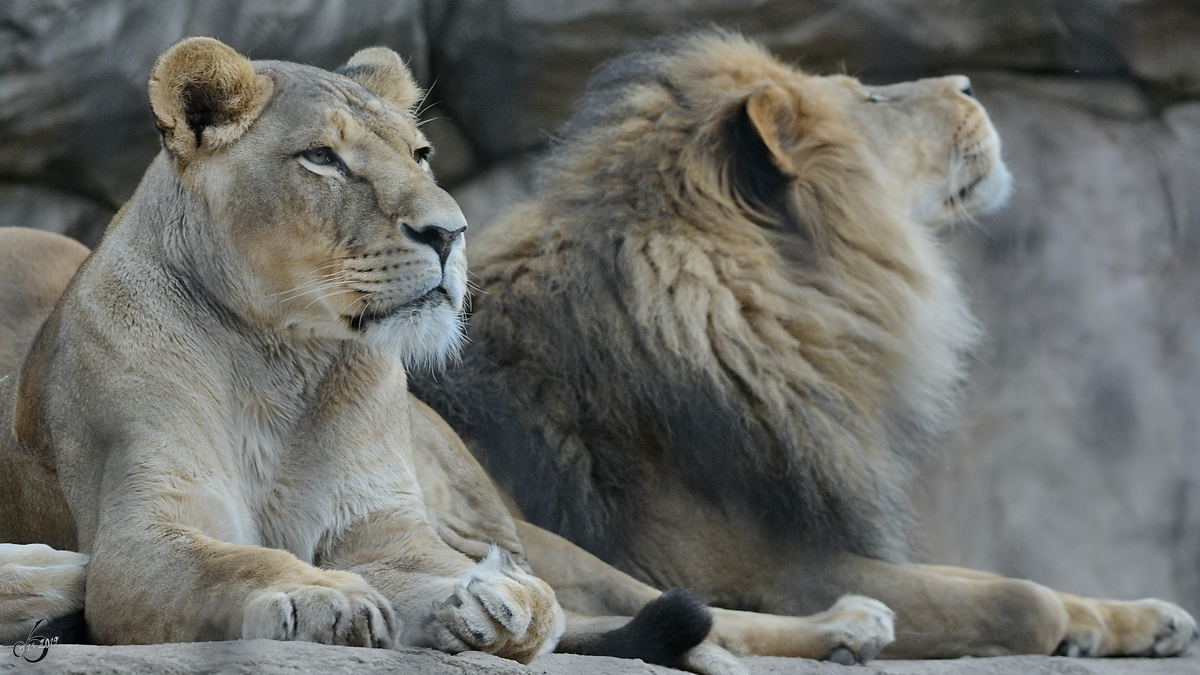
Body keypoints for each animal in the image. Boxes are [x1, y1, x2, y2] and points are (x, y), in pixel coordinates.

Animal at [0, 36, 729, 667]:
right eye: (323, 157)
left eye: (421, 153)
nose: (450, 232)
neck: (280, 356)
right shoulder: (139, 539)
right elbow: (237, 560)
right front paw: (322, 595)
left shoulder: (383, 530)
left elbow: (519, 598)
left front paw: (500, 605)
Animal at [412, 30, 1200, 658]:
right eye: (872, 100)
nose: (969, 84)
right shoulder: (768, 567)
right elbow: (1019, 598)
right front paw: (1072, 625)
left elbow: (1006, 579)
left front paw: (1137, 618)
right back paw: (847, 627)